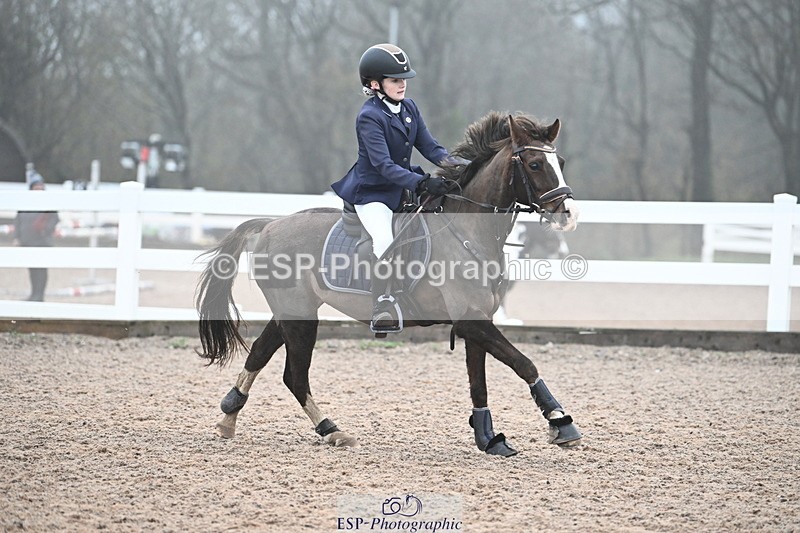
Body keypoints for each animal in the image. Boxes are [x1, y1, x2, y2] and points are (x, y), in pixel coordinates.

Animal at [196, 111, 582, 456]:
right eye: (535, 164)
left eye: (560, 161)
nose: (568, 215)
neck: (469, 230)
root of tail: (270, 225)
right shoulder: (471, 321)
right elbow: (524, 364)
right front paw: (560, 422)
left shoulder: (476, 321)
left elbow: (479, 385)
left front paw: (489, 439)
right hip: (300, 317)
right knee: (295, 376)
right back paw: (333, 431)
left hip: (291, 313)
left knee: (260, 354)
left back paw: (231, 418)